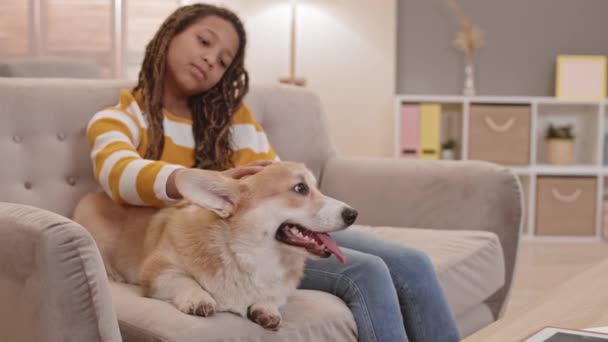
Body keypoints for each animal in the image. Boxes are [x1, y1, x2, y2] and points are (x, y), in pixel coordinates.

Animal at [72, 162, 356, 330]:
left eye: (316, 187)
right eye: (300, 188)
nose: (353, 213)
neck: (250, 256)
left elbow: (273, 297)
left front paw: (266, 308)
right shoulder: (157, 272)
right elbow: (186, 281)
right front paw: (199, 299)